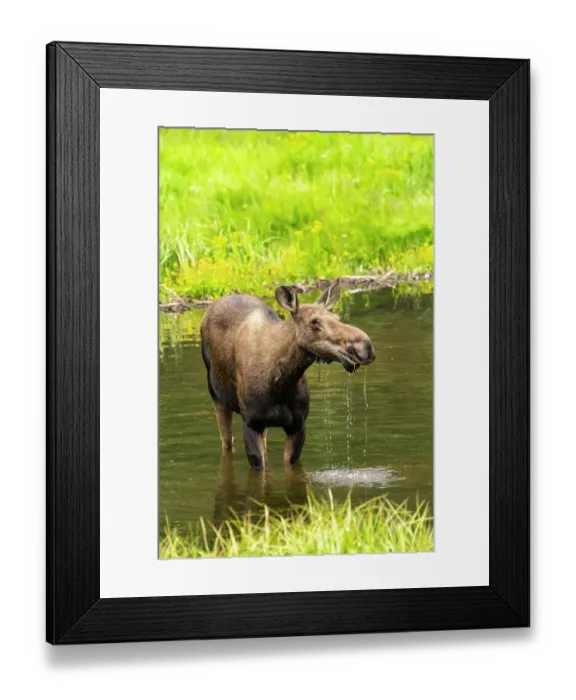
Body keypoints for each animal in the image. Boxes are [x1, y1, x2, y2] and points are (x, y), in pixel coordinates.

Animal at [200, 279, 375, 471]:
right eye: (314, 322)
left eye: (337, 318)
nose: (365, 346)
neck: (280, 384)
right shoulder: (251, 423)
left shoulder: (297, 425)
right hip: (217, 397)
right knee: (227, 442)